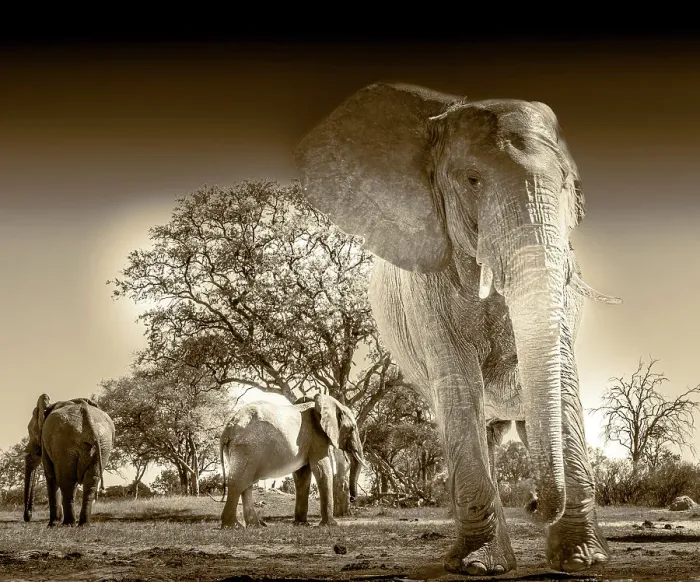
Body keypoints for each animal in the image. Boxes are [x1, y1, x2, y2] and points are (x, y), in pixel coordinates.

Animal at [24, 394, 115, 526]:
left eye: (30, 431)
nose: (28, 516)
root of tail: (88, 418)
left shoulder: (45, 442)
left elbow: (50, 475)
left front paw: (52, 525)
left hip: (64, 442)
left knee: (66, 480)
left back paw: (67, 524)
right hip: (104, 444)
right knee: (91, 479)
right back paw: (83, 524)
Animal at [219, 393, 366, 528]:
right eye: (352, 428)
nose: (353, 499)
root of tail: (228, 428)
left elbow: (302, 475)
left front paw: (301, 524)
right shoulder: (317, 437)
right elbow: (322, 470)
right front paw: (331, 525)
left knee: (246, 484)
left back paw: (254, 526)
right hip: (247, 448)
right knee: (238, 482)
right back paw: (232, 526)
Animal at [293, 82, 622, 576]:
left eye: (567, 182)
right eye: (472, 180)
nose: (533, 505)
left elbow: (563, 378)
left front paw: (583, 560)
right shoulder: (427, 285)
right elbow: (458, 382)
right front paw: (477, 566)